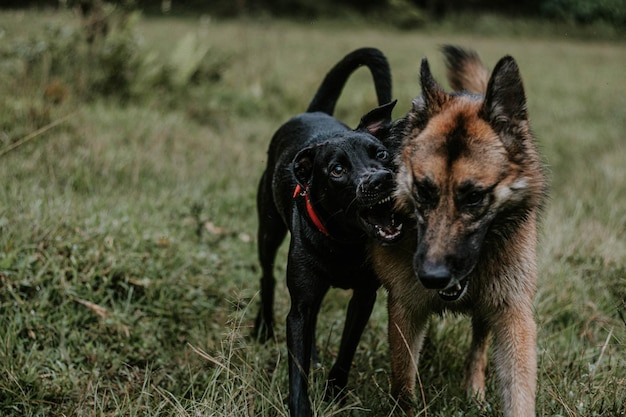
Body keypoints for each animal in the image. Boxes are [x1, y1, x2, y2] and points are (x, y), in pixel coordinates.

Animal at [252, 48, 400, 416]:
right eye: (337, 170)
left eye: (381, 154)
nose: (381, 180)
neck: (345, 242)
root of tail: (313, 111)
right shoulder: (300, 306)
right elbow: (297, 369)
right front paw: (301, 408)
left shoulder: (364, 298)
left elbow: (346, 352)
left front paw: (335, 393)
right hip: (268, 231)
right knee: (267, 276)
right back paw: (263, 328)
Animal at [370, 46, 544, 416]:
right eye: (424, 191)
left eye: (474, 196)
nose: (432, 277)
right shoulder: (404, 309)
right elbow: (403, 382)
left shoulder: (514, 314)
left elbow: (519, 392)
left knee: (478, 348)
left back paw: (474, 392)